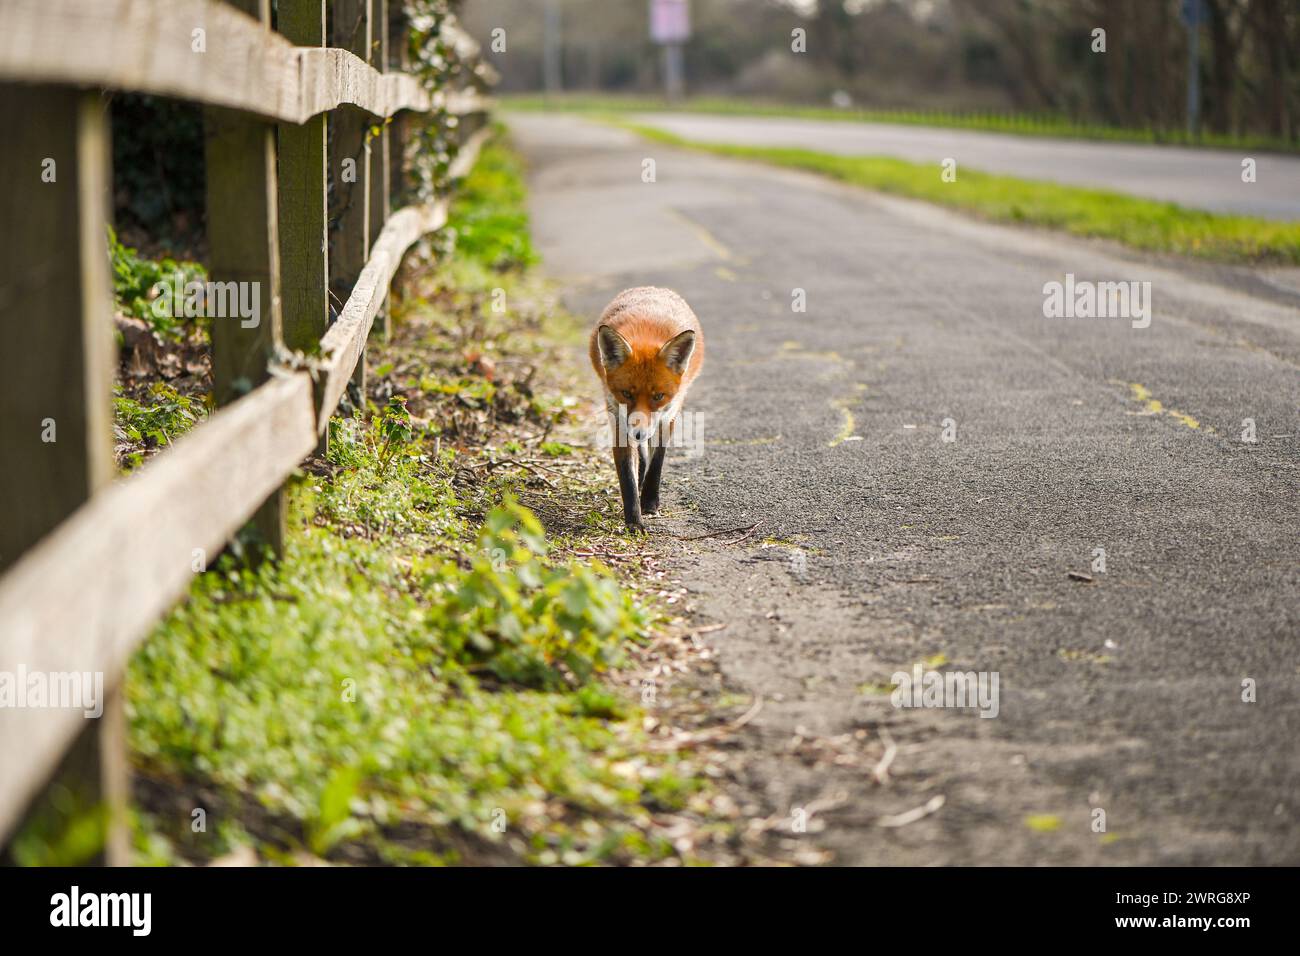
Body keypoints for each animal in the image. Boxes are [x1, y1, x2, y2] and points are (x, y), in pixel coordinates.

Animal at [589, 286, 704, 532]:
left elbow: (657, 462)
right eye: (627, 394)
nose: (638, 433)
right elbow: (627, 477)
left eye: (658, 396)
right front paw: (634, 520)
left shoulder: (668, 415)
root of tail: (653, 289)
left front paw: (650, 501)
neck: (646, 333)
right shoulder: (618, 420)